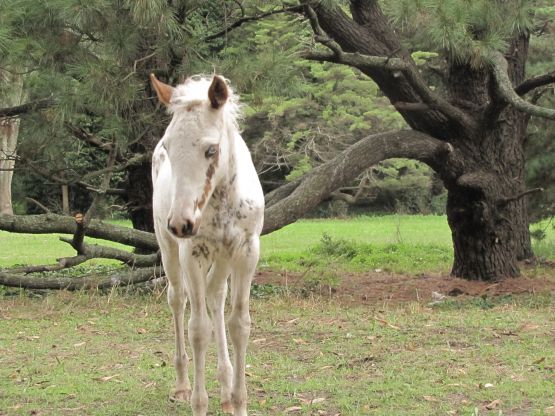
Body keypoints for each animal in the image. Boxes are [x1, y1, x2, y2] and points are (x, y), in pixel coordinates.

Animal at [150, 74, 264, 416]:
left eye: (211, 150)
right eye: (168, 147)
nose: (181, 223)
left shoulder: (246, 252)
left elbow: (239, 324)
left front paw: (238, 401)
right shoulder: (192, 253)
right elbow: (198, 330)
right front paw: (199, 403)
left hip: (224, 257)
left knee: (216, 295)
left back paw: (225, 386)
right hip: (169, 249)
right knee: (178, 299)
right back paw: (182, 385)